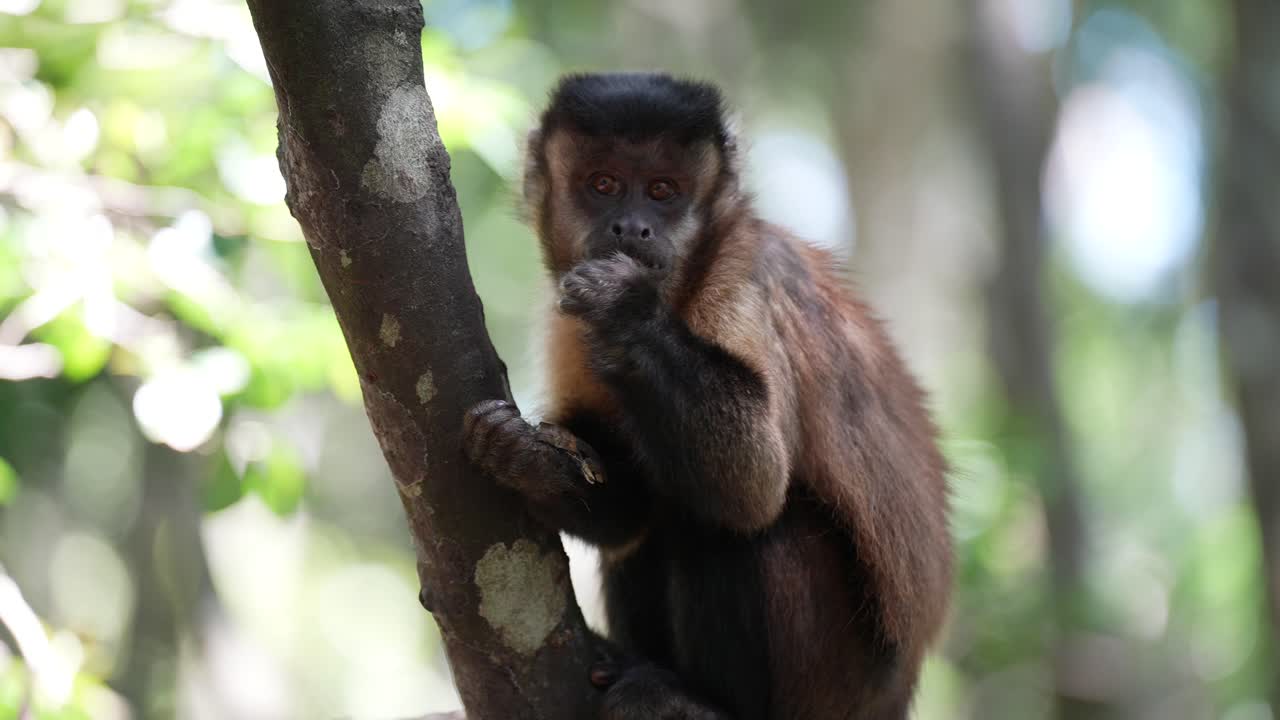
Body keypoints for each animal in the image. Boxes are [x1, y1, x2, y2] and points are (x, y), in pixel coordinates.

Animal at [462, 72, 952, 720]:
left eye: (663, 191)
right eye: (603, 184)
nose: (632, 227)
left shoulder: (741, 275)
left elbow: (752, 480)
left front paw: (625, 311)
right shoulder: (565, 317)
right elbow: (625, 510)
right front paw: (525, 461)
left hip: (830, 680)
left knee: (733, 520)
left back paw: (696, 700)